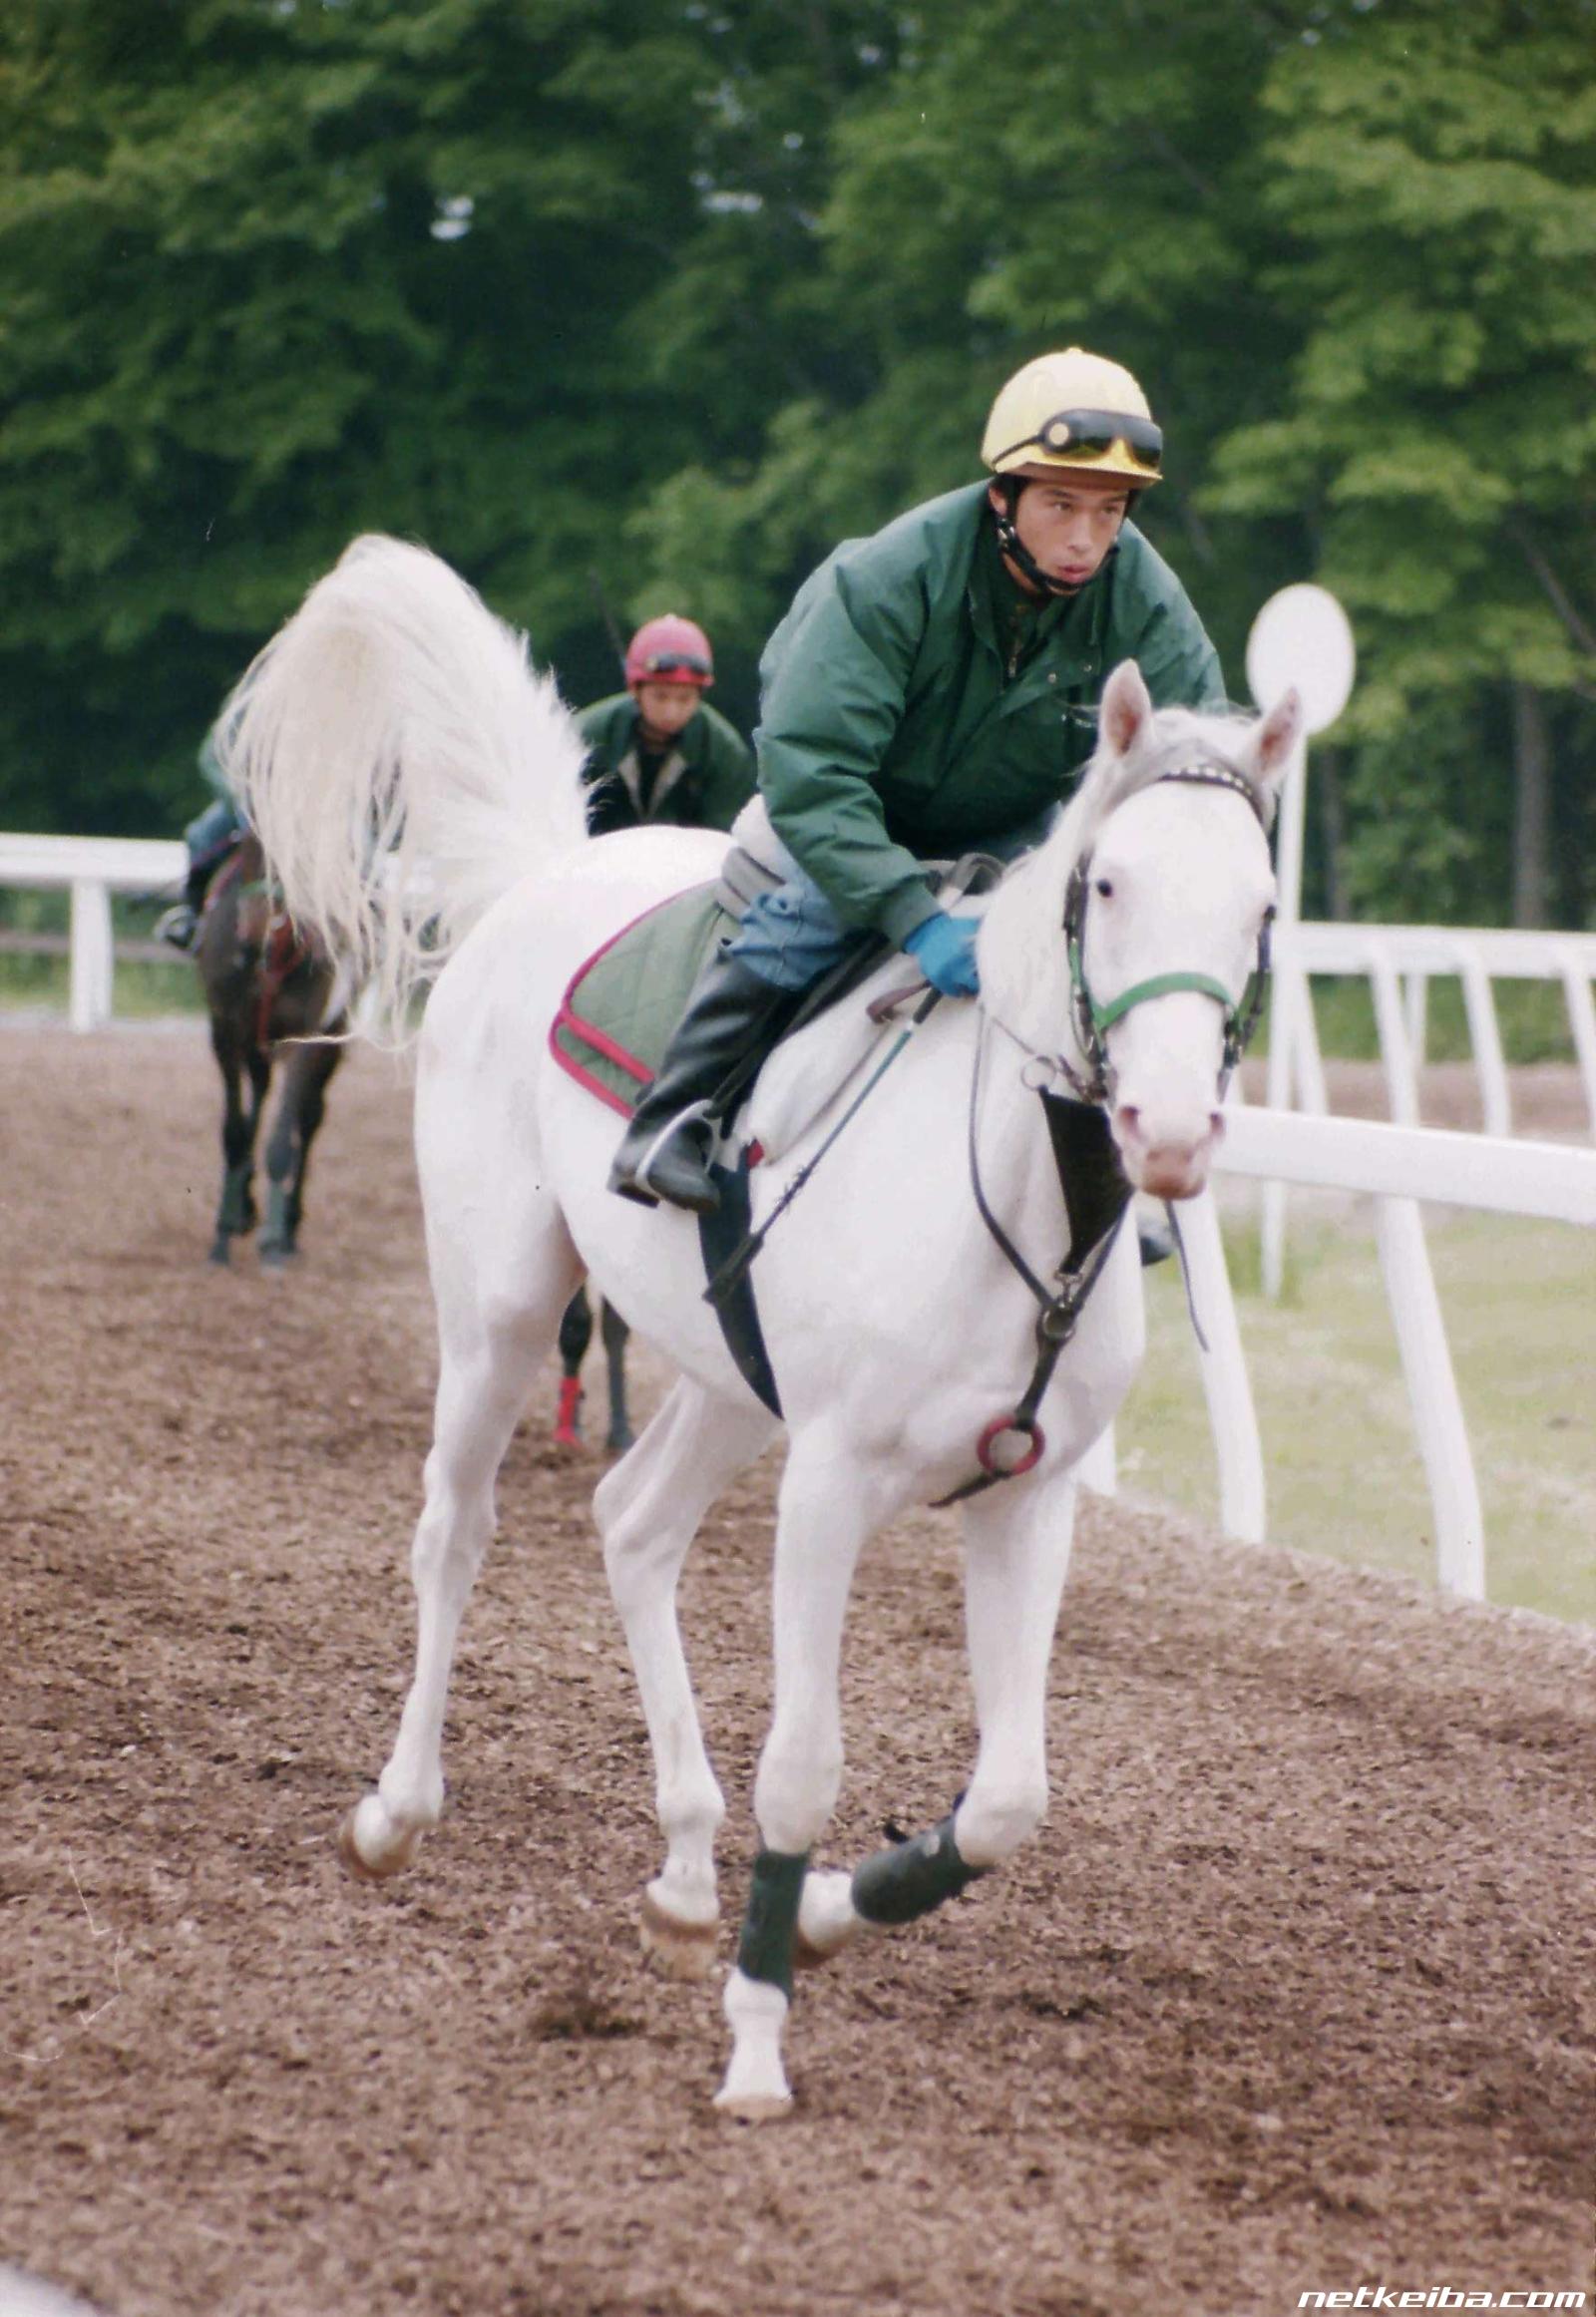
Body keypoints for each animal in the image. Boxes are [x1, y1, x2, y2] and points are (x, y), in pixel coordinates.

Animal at [193, 834, 347, 1270]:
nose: (252, 938)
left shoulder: (306, 1036)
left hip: (332, 1039)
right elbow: (234, 1133)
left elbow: (281, 1140)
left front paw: (274, 1242)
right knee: (259, 1097)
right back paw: (244, 1207)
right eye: (248, 840)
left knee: (308, 1119)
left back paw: (288, 1227)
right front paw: (223, 1232)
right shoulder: (225, 1032)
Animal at [224, 537, 1297, 2122]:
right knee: (454, 1529)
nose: (1166, 1131)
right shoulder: (829, 1485)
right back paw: (397, 1810)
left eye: (1261, 907)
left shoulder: (1027, 1495)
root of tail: (546, 870)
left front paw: (838, 1910)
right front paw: (757, 2033)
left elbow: (1010, 1796)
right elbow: (805, 1762)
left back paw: (683, 1867)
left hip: (727, 1381)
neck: (1018, 1205)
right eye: (1106, 882)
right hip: (498, 1307)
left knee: (631, 1521)